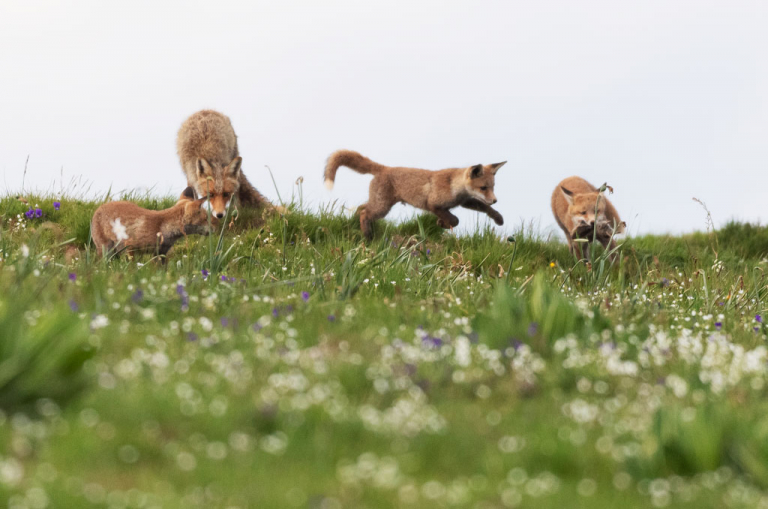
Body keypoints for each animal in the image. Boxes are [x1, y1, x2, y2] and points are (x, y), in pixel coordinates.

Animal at [326, 149, 510, 240]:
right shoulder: (433, 203)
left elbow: (485, 209)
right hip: (382, 207)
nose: (495, 200)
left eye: (492, 187)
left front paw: (498, 218)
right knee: (364, 212)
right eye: (483, 187)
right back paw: (367, 236)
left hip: (379, 204)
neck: (453, 186)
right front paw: (442, 223)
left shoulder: (465, 201)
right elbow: (454, 220)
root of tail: (385, 168)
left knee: (360, 208)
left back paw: (359, 225)